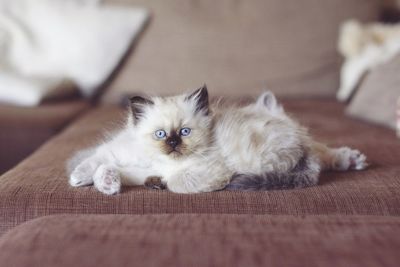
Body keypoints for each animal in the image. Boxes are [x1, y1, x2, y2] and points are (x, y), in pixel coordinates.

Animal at [67, 86, 368, 195]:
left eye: (184, 132)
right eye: (161, 134)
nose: (173, 144)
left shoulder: (210, 170)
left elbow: (176, 182)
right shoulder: (121, 158)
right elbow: (99, 163)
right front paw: (98, 181)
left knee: (322, 153)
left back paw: (352, 159)